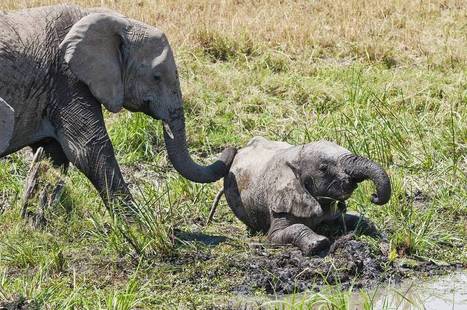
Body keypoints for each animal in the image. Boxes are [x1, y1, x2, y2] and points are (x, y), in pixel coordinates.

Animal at [0, 3, 236, 208]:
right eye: (156, 77)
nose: (231, 148)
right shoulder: (66, 78)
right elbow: (89, 149)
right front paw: (140, 228)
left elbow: (54, 155)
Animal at [216, 137, 392, 256]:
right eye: (323, 168)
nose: (374, 196)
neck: (296, 155)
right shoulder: (280, 201)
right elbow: (277, 234)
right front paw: (319, 243)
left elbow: (346, 218)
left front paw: (376, 231)